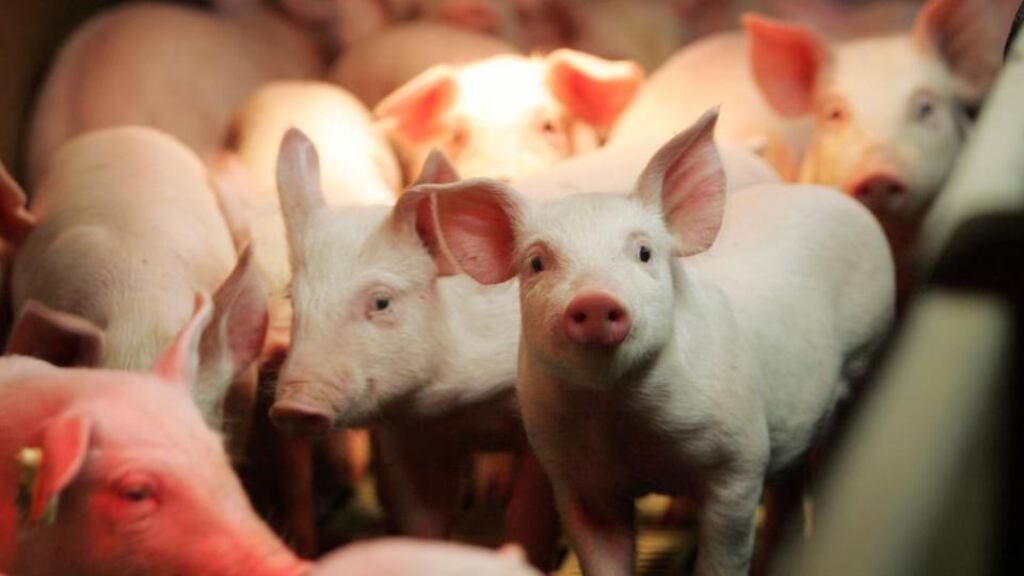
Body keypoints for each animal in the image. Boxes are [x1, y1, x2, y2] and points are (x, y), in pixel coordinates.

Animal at [406, 109, 895, 575]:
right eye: (536, 263)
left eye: (643, 253)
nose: (595, 300)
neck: (621, 418)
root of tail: (828, 194)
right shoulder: (576, 481)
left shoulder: (740, 462)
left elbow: (724, 557)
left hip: (867, 350)